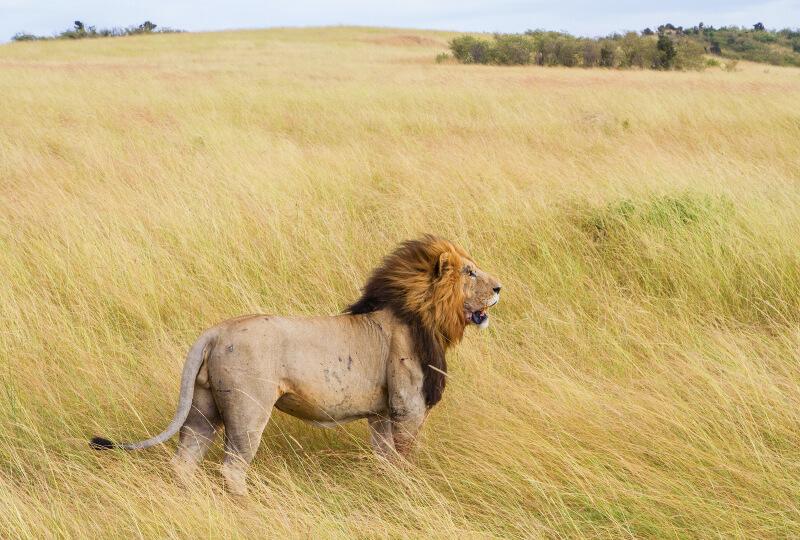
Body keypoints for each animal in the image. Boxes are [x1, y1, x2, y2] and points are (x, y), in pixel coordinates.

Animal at [92, 234, 500, 496]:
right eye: (470, 272)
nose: (499, 288)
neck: (423, 314)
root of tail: (215, 331)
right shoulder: (407, 406)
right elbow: (404, 458)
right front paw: (408, 490)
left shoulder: (382, 413)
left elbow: (385, 459)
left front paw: (386, 486)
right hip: (248, 410)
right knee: (232, 467)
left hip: (203, 408)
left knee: (184, 461)